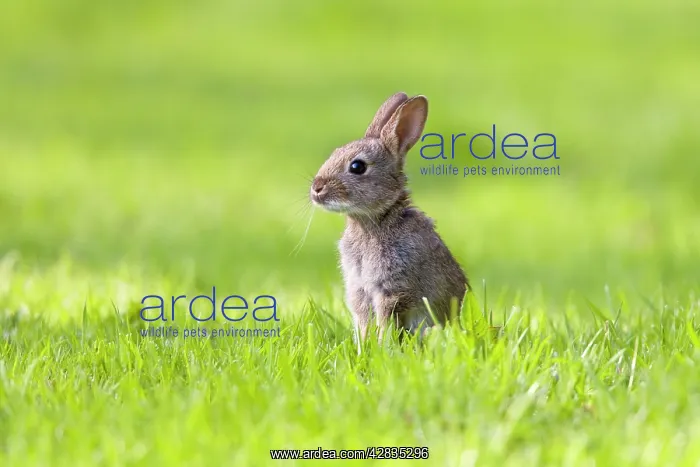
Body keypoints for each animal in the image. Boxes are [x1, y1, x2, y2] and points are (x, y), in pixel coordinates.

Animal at [309, 92, 469, 347]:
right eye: (334, 153)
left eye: (357, 166)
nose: (316, 188)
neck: (374, 219)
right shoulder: (359, 289)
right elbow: (363, 320)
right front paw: (364, 347)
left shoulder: (392, 288)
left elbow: (385, 319)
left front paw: (383, 347)